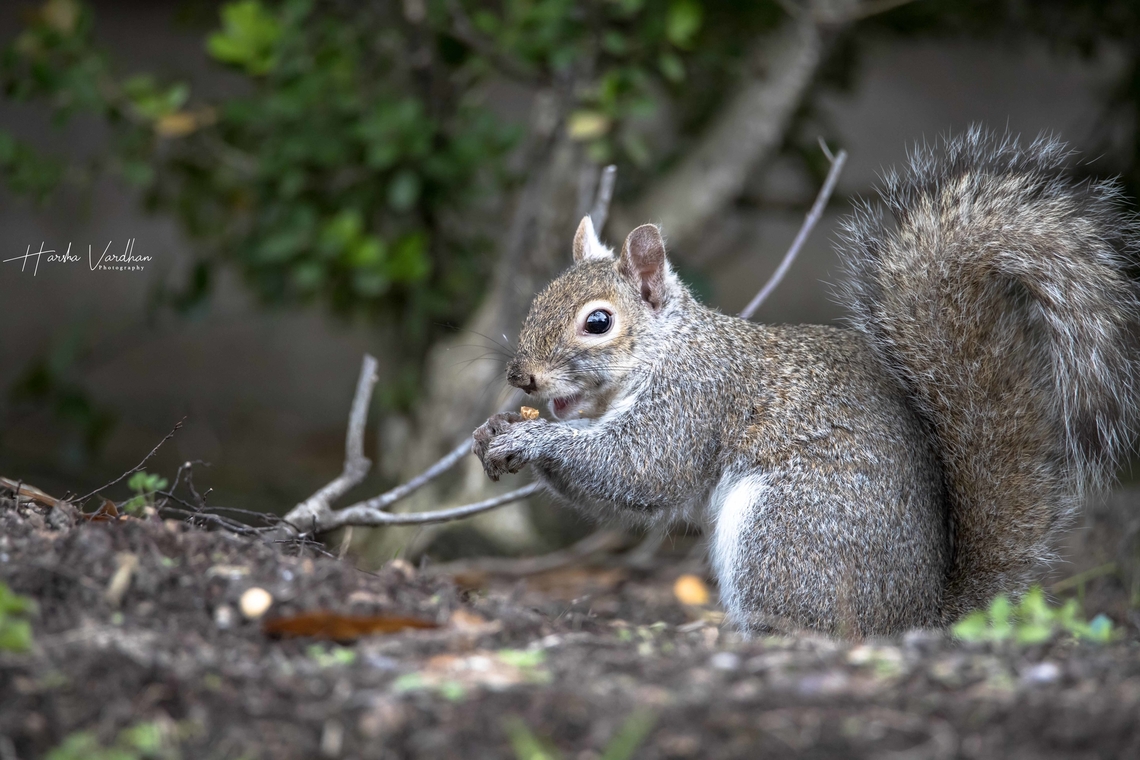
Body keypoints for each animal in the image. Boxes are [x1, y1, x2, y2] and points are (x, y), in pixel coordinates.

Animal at [472, 128, 1140, 636]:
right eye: (537, 299)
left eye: (598, 322)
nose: (520, 376)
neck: (667, 351)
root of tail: (917, 618)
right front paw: (495, 430)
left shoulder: (695, 400)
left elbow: (641, 469)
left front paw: (531, 439)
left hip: (784, 534)